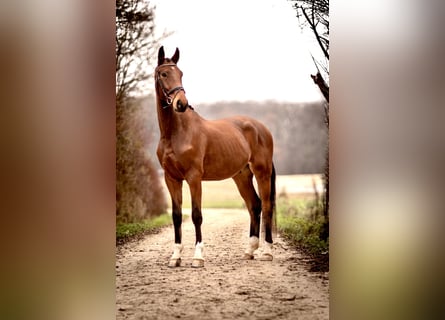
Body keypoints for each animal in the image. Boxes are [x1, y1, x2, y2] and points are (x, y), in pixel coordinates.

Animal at [154, 47, 276, 268]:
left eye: (181, 73)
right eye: (164, 73)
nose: (181, 104)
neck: (175, 133)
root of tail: (261, 128)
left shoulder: (194, 178)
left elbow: (196, 215)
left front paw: (198, 257)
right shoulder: (171, 178)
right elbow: (177, 216)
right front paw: (175, 257)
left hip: (262, 172)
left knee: (267, 205)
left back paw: (267, 252)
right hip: (241, 176)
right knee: (254, 205)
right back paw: (249, 250)